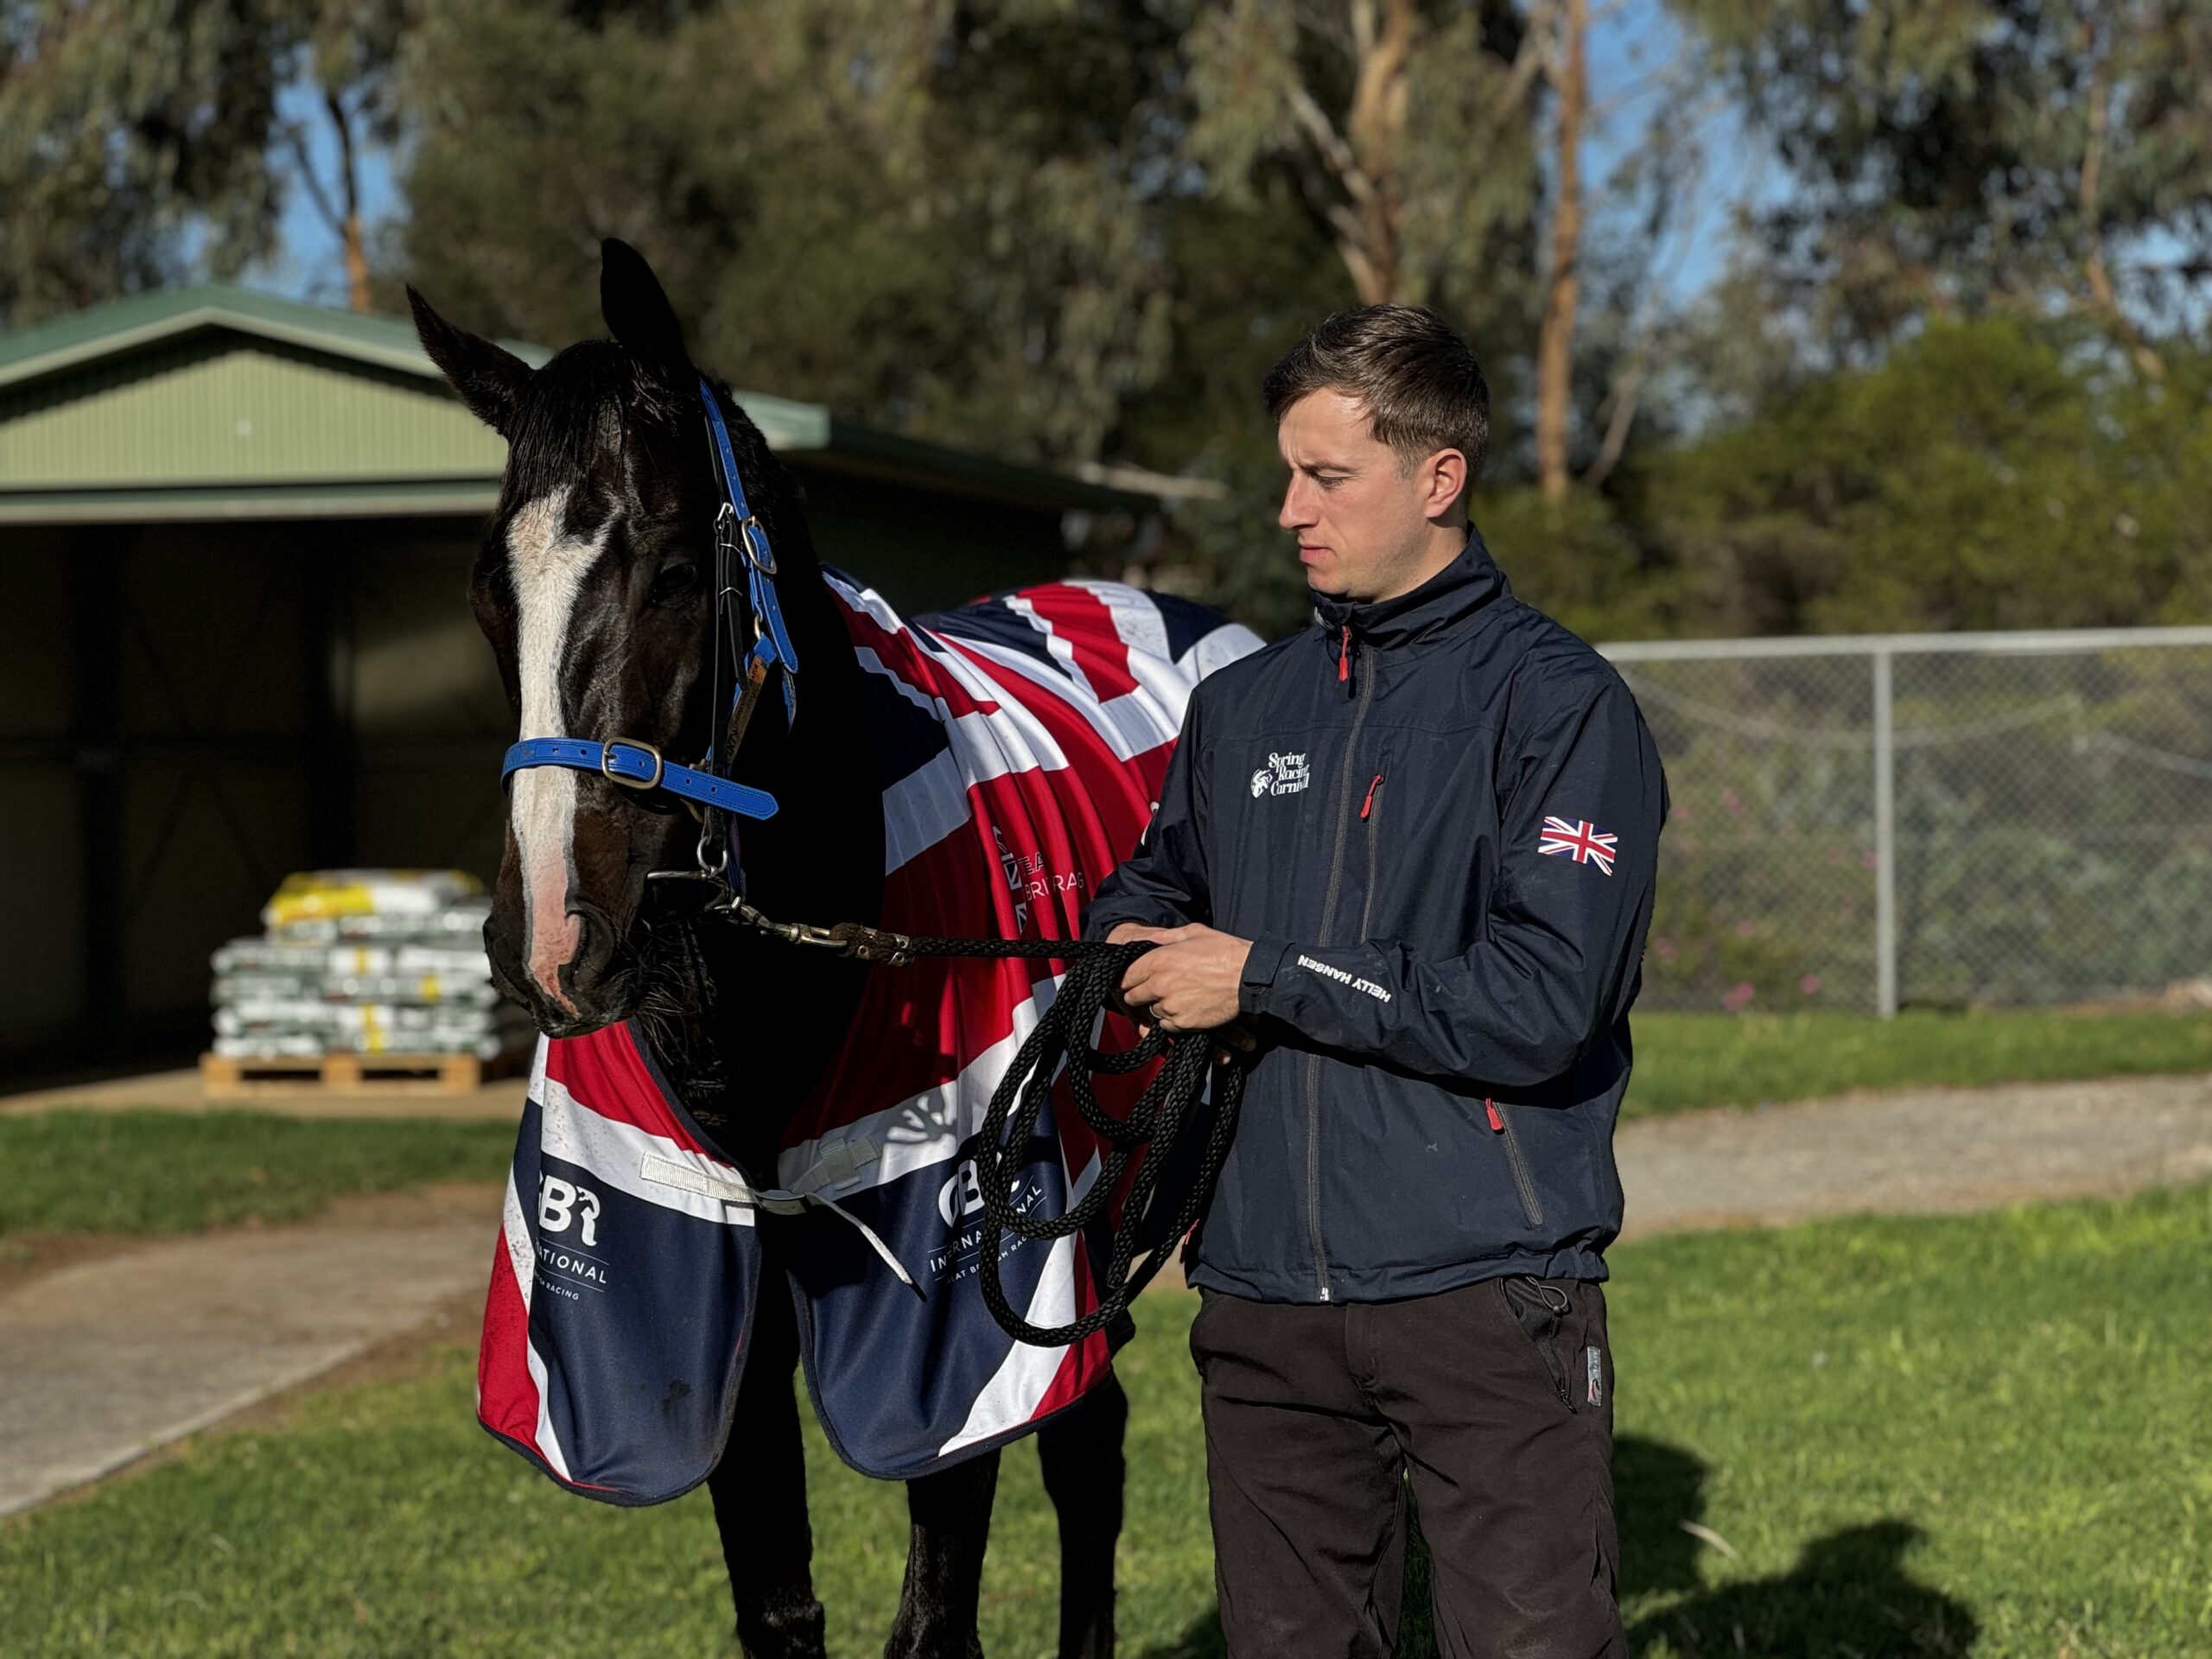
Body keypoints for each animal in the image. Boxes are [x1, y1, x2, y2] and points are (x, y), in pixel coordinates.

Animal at [413, 239, 1132, 1654]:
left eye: (676, 573)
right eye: (485, 594)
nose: (547, 941)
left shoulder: (955, 1344)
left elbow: (934, 1620)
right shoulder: (706, 1309)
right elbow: (778, 1609)